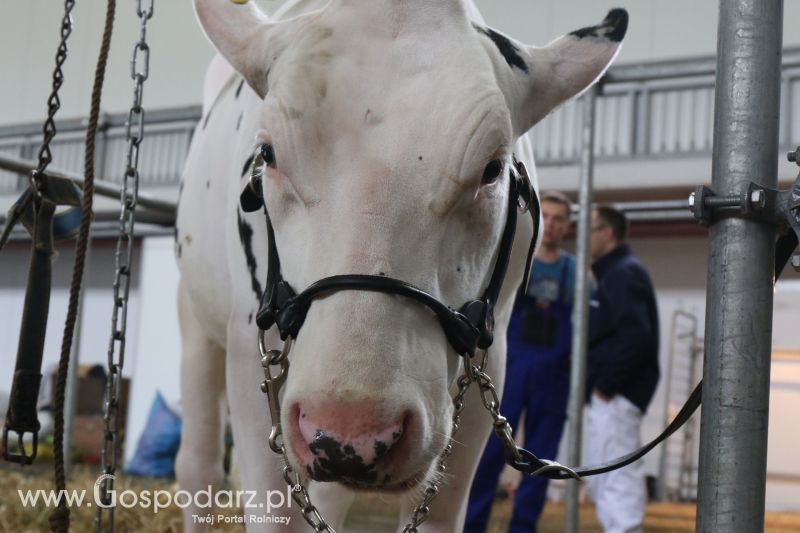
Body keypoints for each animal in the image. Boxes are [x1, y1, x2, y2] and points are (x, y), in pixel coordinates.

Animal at [173, 1, 624, 528]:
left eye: (492, 169)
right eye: (268, 154)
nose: (352, 435)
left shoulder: (487, 357)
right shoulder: (252, 349)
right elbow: (273, 507)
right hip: (196, 317)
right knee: (198, 464)